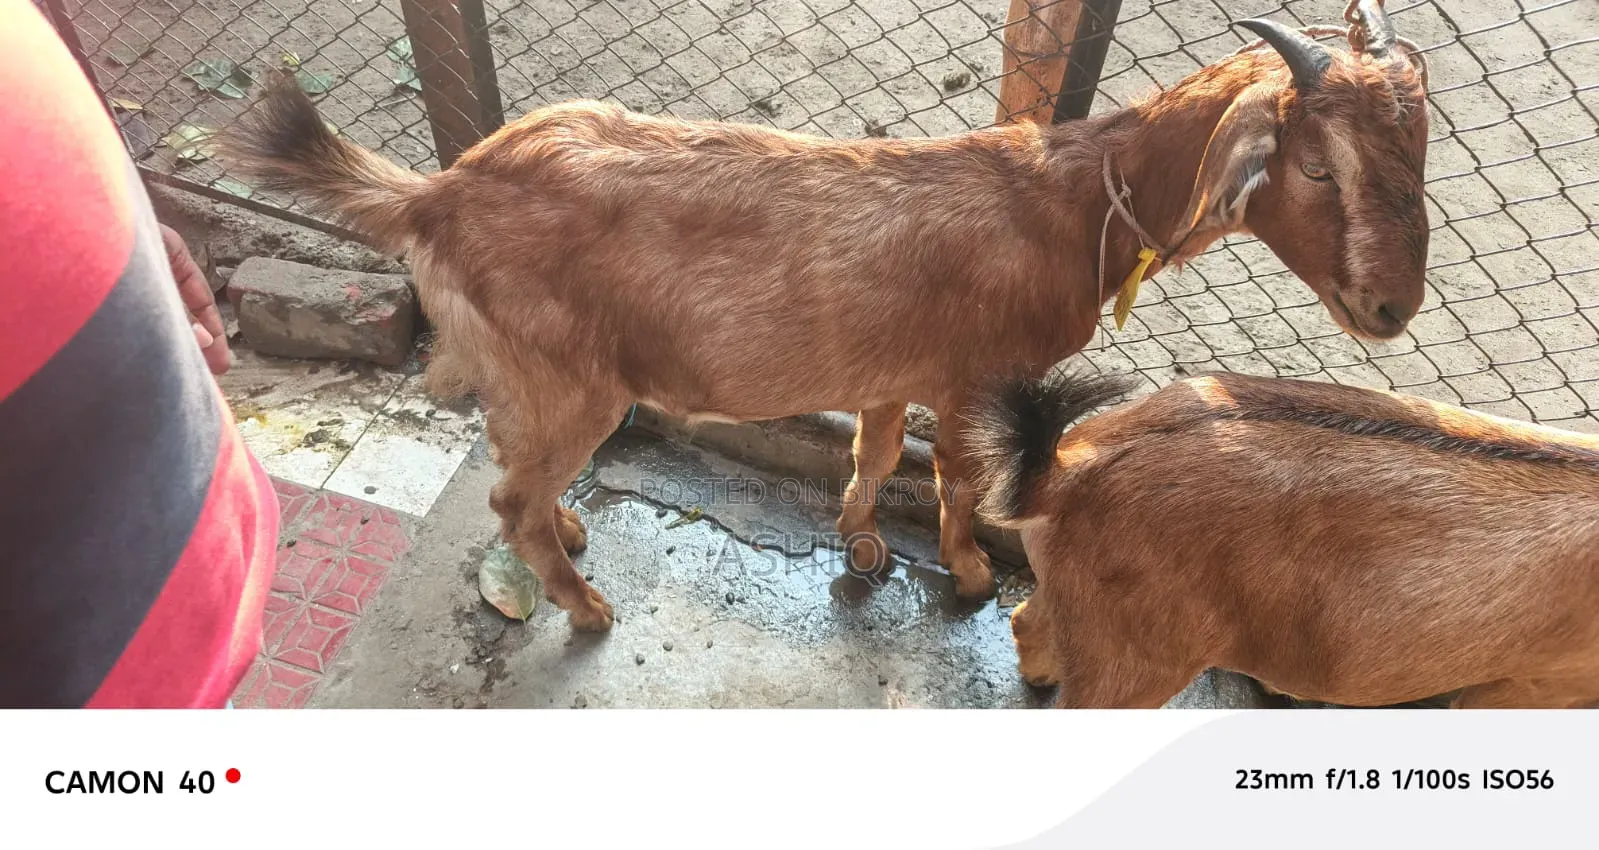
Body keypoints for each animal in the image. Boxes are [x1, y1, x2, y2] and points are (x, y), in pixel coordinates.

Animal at [222, 4, 1430, 632]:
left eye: (1416, 149)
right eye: (1315, 164)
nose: (1393, 305)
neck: (1067, 202)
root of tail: (437, 194)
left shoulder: (896, 369)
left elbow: (877, 451)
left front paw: (859, 540)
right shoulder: (974, 376)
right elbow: (954, 480)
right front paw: (971, 574)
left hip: (528, 374)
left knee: (513, 471)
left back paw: (567, 535)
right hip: (571, 377)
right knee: (509, 490)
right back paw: (586, 604)